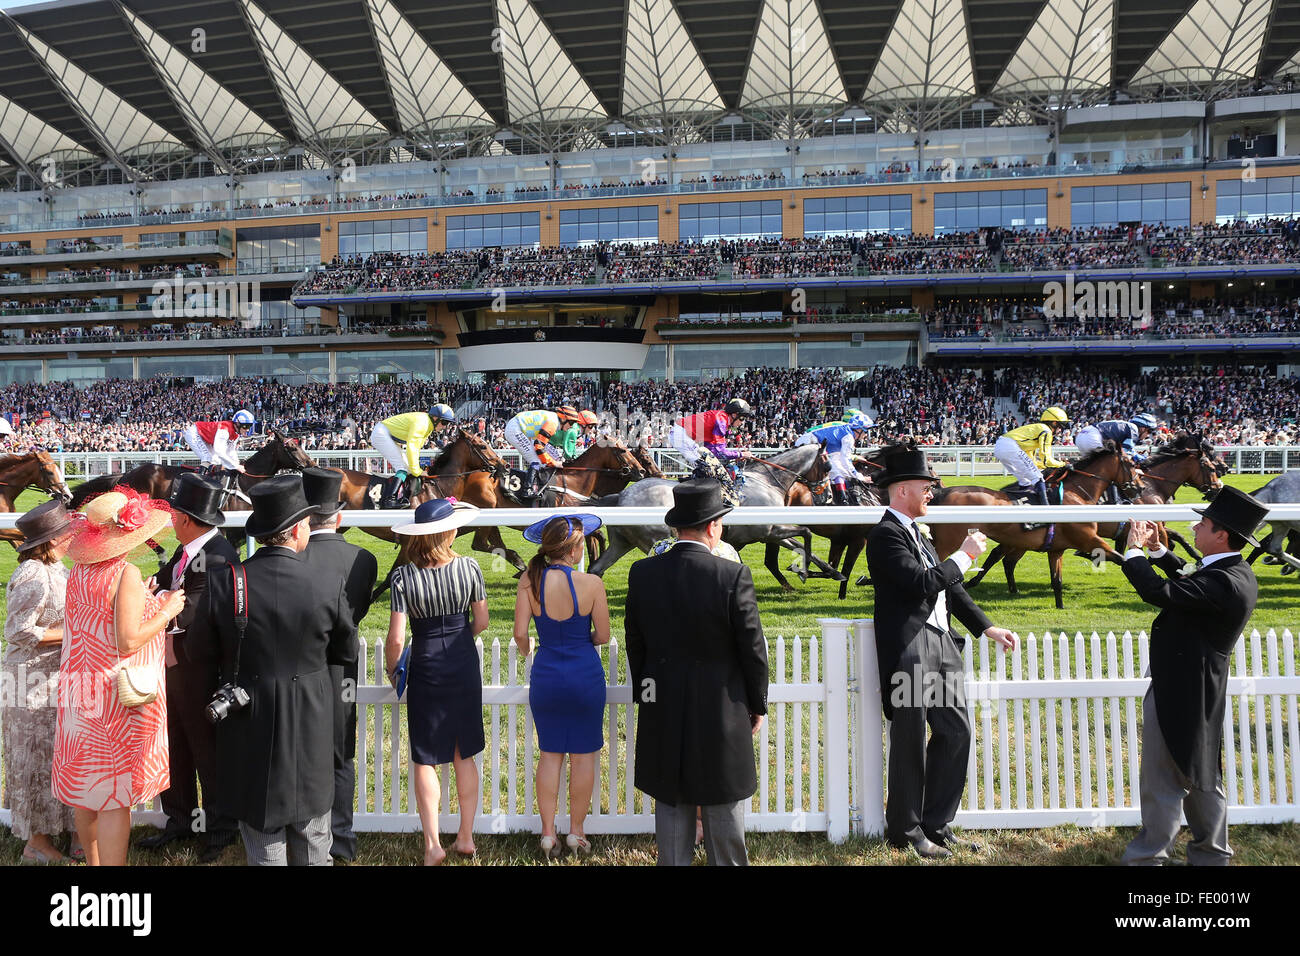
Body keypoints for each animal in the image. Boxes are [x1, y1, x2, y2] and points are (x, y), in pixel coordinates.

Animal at [590, 442, 842, 590]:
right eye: (828, 466)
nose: (829, 496)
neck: (767, 482)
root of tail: (621, 495)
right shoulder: (770, 531)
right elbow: (807, 534)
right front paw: (805, 573)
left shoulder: (771, 532)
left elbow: (802, 544)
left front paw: (832, 572)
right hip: (655, 540)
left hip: (623, 542)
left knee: (596, 569)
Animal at [920, 444, 1144, 608]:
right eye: (1131, 464)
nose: (1140, 487)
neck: (1077, 494)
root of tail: (941, 493)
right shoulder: (1089, 539)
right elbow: (1120, 558)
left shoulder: (1056, 549)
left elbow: (1057, 581)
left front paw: (1060, 606)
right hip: (949, 542)